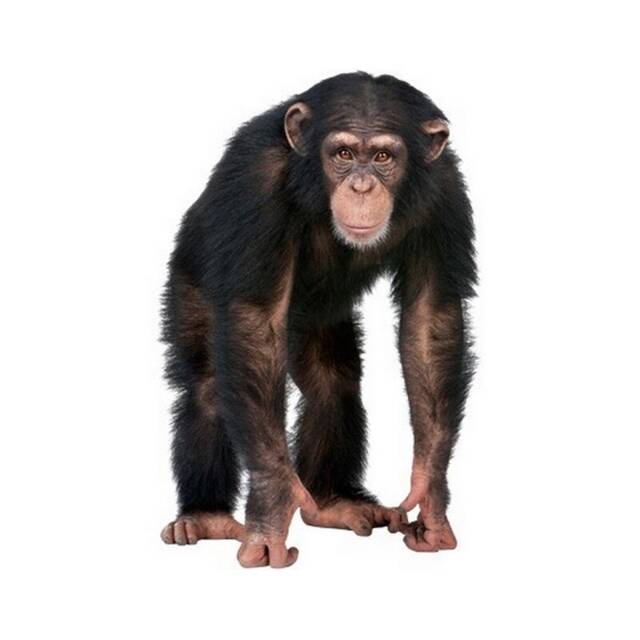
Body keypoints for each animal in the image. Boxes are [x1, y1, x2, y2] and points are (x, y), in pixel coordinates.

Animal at [160, 72, 477, 568]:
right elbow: (254, 320)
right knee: (208, 385)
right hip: (189, 276)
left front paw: (431, 494)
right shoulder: (256, 178)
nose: (362, 187)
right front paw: (272, 506)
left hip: (316, 321)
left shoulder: (446, 192)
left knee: (333, 380)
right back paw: (206, 516)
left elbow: (431, 319)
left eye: (383, 157)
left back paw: (330, 503)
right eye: (343, 154)